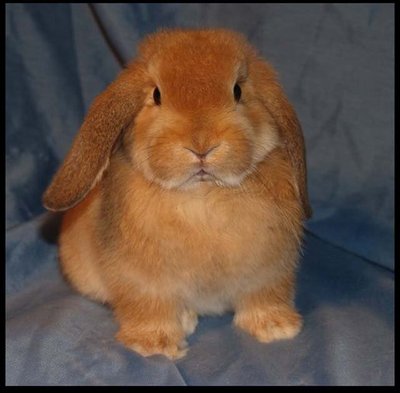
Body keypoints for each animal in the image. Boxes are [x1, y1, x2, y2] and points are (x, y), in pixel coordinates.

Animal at [43, 27, 312, 358]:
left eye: (237, 91)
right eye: (157, 95)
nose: (201, 145)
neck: (203, 196)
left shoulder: (268, 271)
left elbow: (264, 295)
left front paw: (276, 327)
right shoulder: (143, 281)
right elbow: (150, 307)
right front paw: (154, 344)